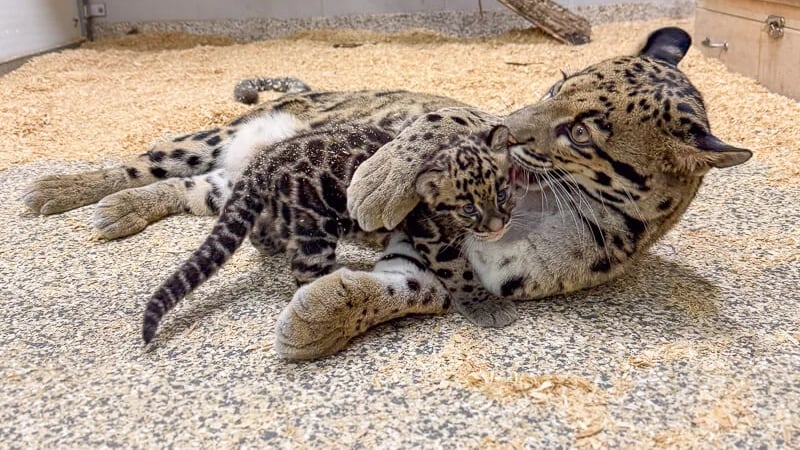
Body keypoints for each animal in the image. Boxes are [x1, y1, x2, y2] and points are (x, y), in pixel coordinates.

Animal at [141, 110, 516, 343]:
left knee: (262, 233)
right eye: (468, 207)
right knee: (304, 270)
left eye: (502, 193)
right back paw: (333, 285)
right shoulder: (431, 235)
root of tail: (263, 160)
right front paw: (485, 305)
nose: (499, 226)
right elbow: (459, 272)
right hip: (314, 227)